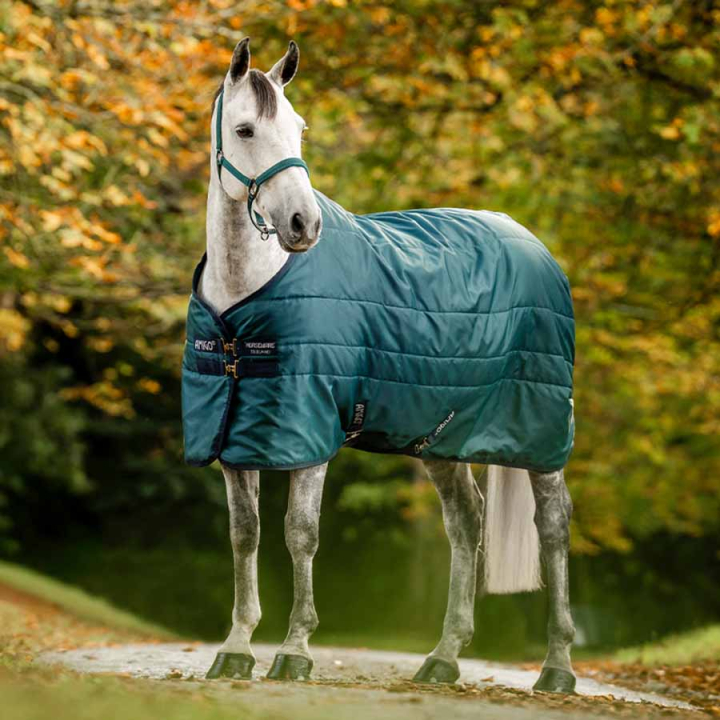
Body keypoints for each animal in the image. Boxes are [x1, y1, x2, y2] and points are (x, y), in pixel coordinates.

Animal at [187, 37, 576, 693]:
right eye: (244, 129)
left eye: (299, 129)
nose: (304, 225)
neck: (246, 298)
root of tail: (533, 243)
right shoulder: (234, 435)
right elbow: (245, 536)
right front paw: (236, 650)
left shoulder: (309, 430)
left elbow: (300, 533)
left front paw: (295, 652)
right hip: (441, 435)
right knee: (466, 523)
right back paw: (442, 659)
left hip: (541, 431)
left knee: (553, 527)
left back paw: (557, 667)